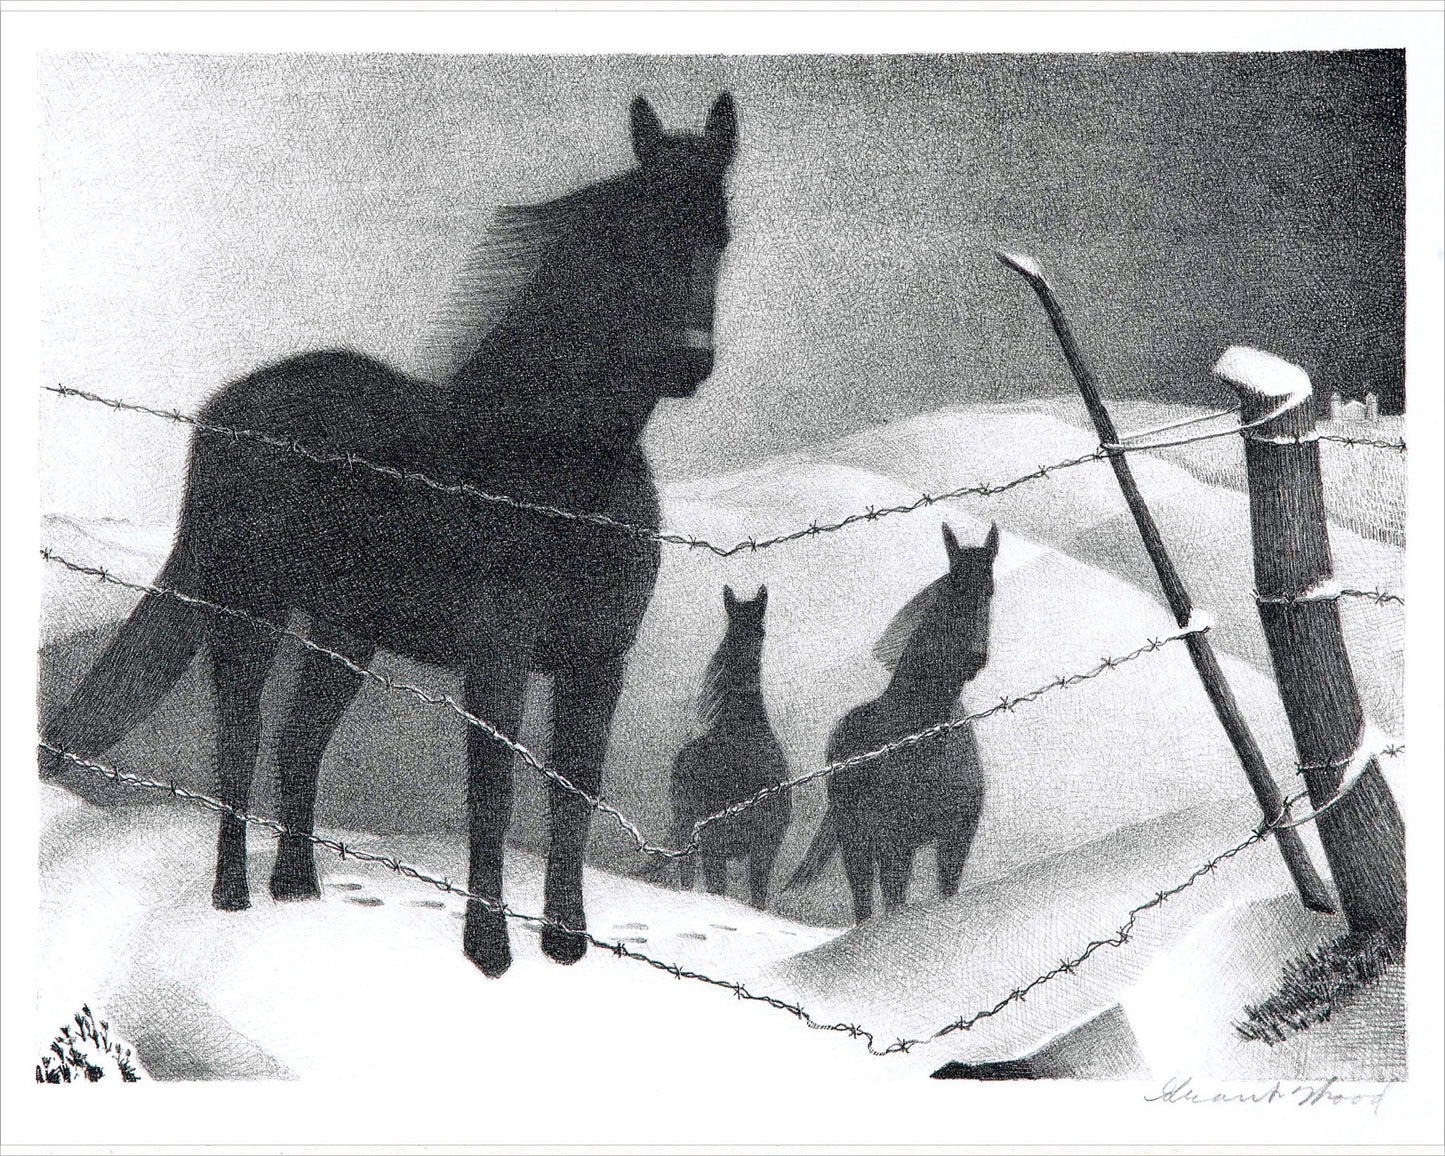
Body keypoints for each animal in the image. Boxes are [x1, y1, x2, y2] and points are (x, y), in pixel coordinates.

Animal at [40, 92, 739, 979]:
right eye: (634, 237)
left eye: (720, 235)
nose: (690, 362)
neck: (554, 462)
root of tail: (227, 407)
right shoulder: (498, 657)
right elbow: (492, 793)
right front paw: (490, 953)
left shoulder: (599, 660)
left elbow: (574, 794)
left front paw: (565, 946)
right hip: (248, 613)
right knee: (242, 740)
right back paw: (233, 896)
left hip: (346, 632)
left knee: (300, 742)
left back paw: (298, 891)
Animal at [659, 585, 792, 909]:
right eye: (738, 627)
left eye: (760, 630)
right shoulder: (718, 847)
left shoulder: (763, 848)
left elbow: (757, 900)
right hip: (695, 839)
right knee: (689, 879)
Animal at [785, 522, 998, 923]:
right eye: (953, 585)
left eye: (990, 590)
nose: (974, 657)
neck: (925, 734)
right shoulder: (893, 843)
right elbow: (894, 905)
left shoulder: (956, 838)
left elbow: (948, 893)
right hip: (857, 842)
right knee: (865, 904)